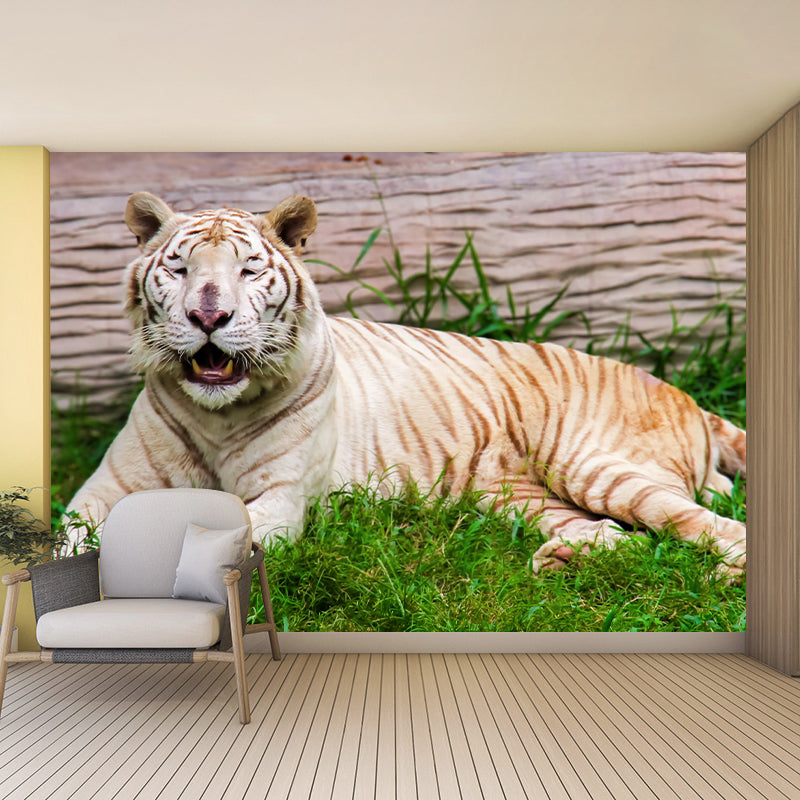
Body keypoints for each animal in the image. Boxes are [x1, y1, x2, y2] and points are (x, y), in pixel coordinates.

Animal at [64, 191, 747, 577]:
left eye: (249, 271)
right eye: (179, 270)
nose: (210, 317)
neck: (215, 411)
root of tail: (685, 395)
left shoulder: (281, 499)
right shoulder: (101, 493)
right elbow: (72, 548)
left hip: (594, 465)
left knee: (712, 527)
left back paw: (725, 580)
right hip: (521, 497)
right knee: (617, 537)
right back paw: (561, 563)